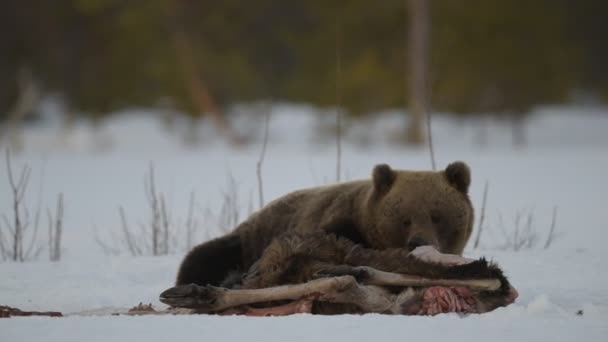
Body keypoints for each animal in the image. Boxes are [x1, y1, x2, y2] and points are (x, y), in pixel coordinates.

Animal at [176, 162, 476, 288]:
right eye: (404, 218)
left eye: (437, 215)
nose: (418, 241)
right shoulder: (334, 222)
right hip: (244, 241)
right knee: (202, 257)